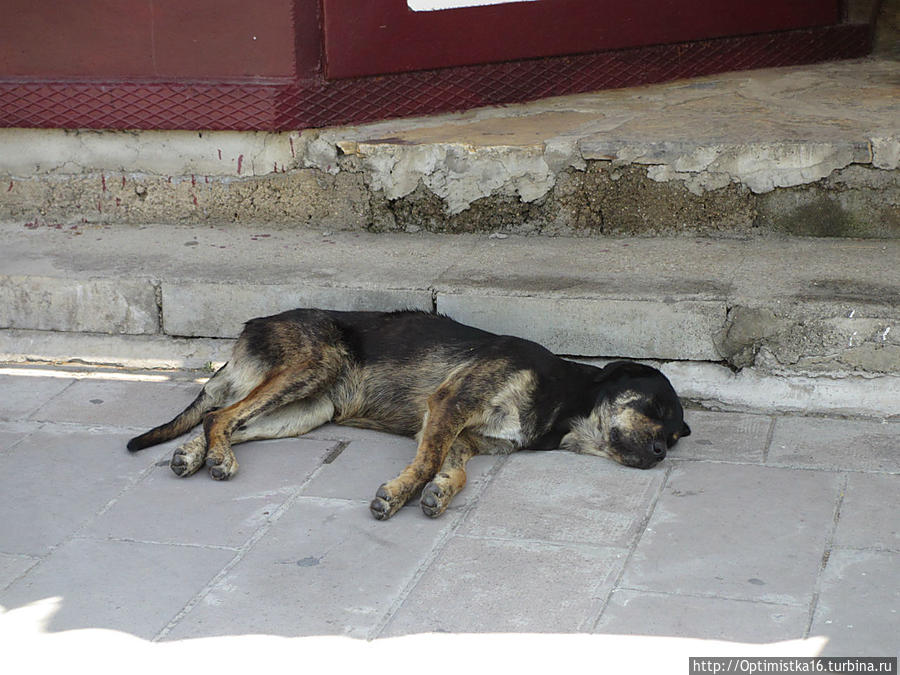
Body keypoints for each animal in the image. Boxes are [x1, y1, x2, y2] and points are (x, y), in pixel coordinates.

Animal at [126, 308, 688, 520]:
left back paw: (193, 455)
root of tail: (250, 328)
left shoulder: (470, 438)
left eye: (677, 435)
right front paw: (399, 494)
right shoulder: (449, 405)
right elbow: (425, 462)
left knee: (222, 417)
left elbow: (454, 471)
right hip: (313, 365)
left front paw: (439, 492)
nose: (661, 452)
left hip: (307, 410)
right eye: (654, 406)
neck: (561, 397)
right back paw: (216, 459)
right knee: (221, 416)